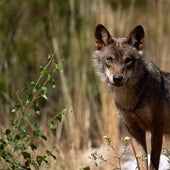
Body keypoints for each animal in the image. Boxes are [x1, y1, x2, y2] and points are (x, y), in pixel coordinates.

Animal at [93, 24, 170, 170]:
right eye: (109, 59)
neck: (130, 101)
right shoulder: (134, 130)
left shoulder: (157, 127)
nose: (117, 78)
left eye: (128, 60)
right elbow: (142, 164)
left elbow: (153, 164)